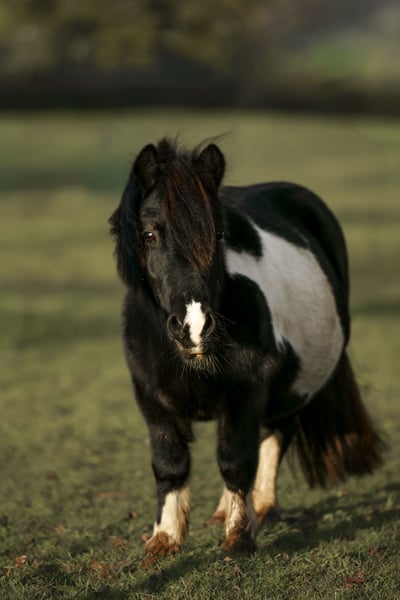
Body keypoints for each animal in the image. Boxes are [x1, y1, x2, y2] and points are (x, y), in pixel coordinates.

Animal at [109, 138, 383, 556]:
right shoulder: (152, 399)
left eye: (220, 234)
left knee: (273, 436)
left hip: (291, 388)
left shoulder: (248, 389)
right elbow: (169, 465)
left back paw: (262, 507)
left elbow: (236, 460)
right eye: (150, 234)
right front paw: (164, 539)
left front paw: (239, 535)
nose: (194, 326)